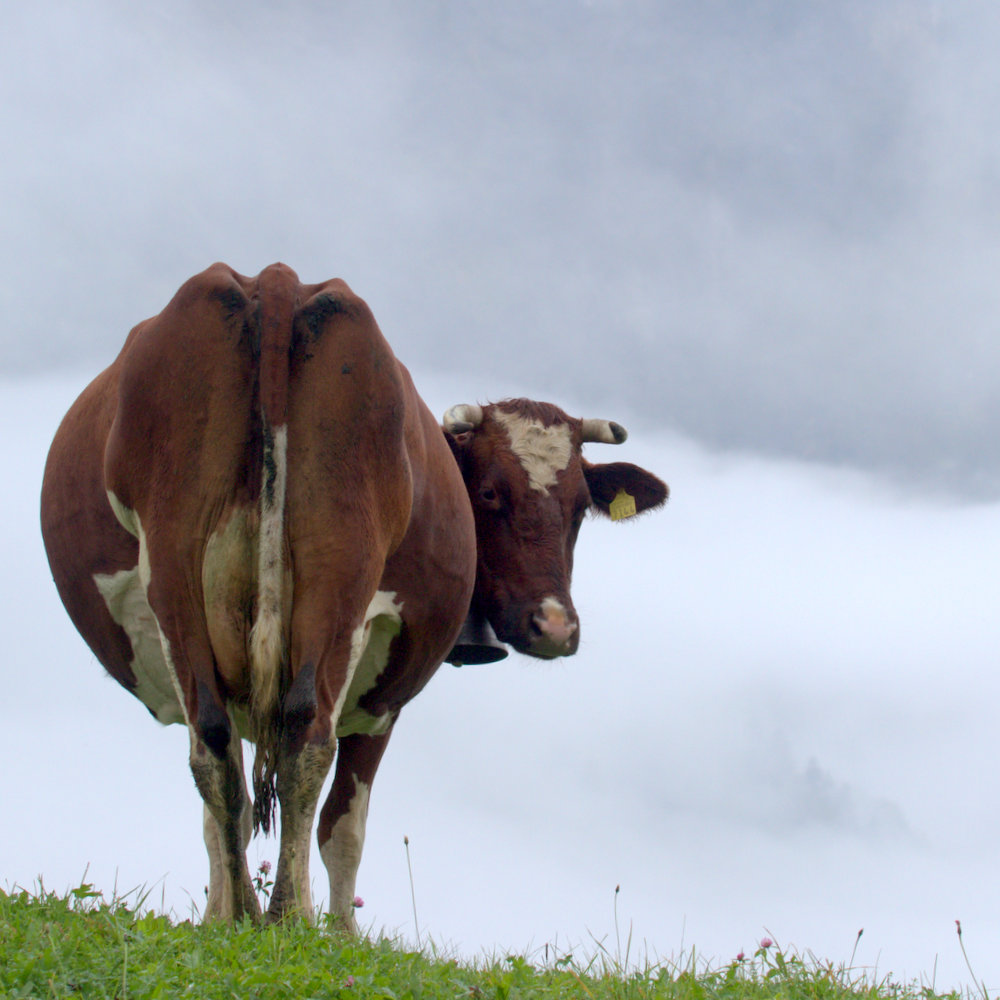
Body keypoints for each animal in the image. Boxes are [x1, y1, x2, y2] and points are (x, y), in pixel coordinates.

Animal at [39, 264, 668, 928]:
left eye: (579, 508)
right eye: (490, 493)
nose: (554, 626)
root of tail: (276, 278)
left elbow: (222, 812)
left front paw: (220, 919)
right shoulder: (382, 703)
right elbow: (344, 825)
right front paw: (338, 933)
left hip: (177, 565)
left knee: (216, 751)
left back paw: (249, 914)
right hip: (339, 574)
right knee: (305, 741)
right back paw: (289, 916)